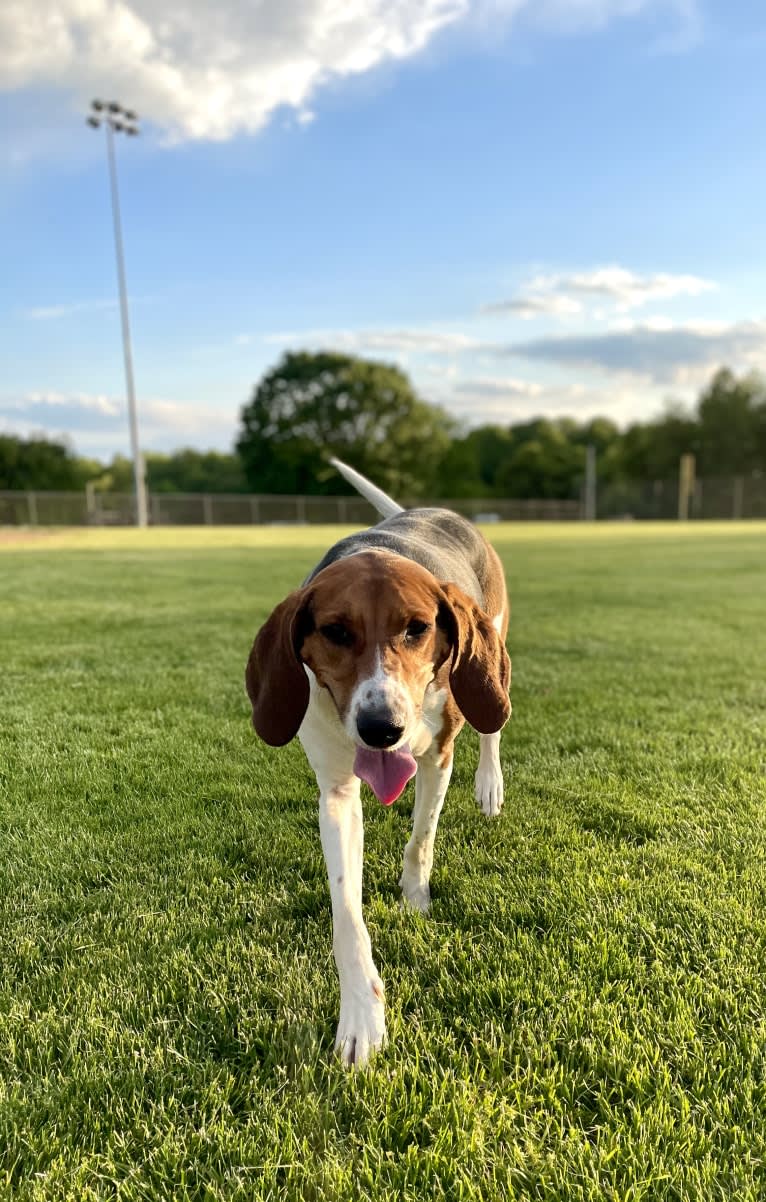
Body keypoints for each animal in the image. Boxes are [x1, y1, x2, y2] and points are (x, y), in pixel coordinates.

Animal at [245, 461, 509, 1072]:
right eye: (335, 632)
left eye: (417, 628)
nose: (381, 728)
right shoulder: (337, 793)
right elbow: (347, 914)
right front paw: (361, 1017)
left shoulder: (438, 754)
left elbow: (421, 838)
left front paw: (414, 898)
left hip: (495, 649)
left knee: (492, 726)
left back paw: (490, 785)